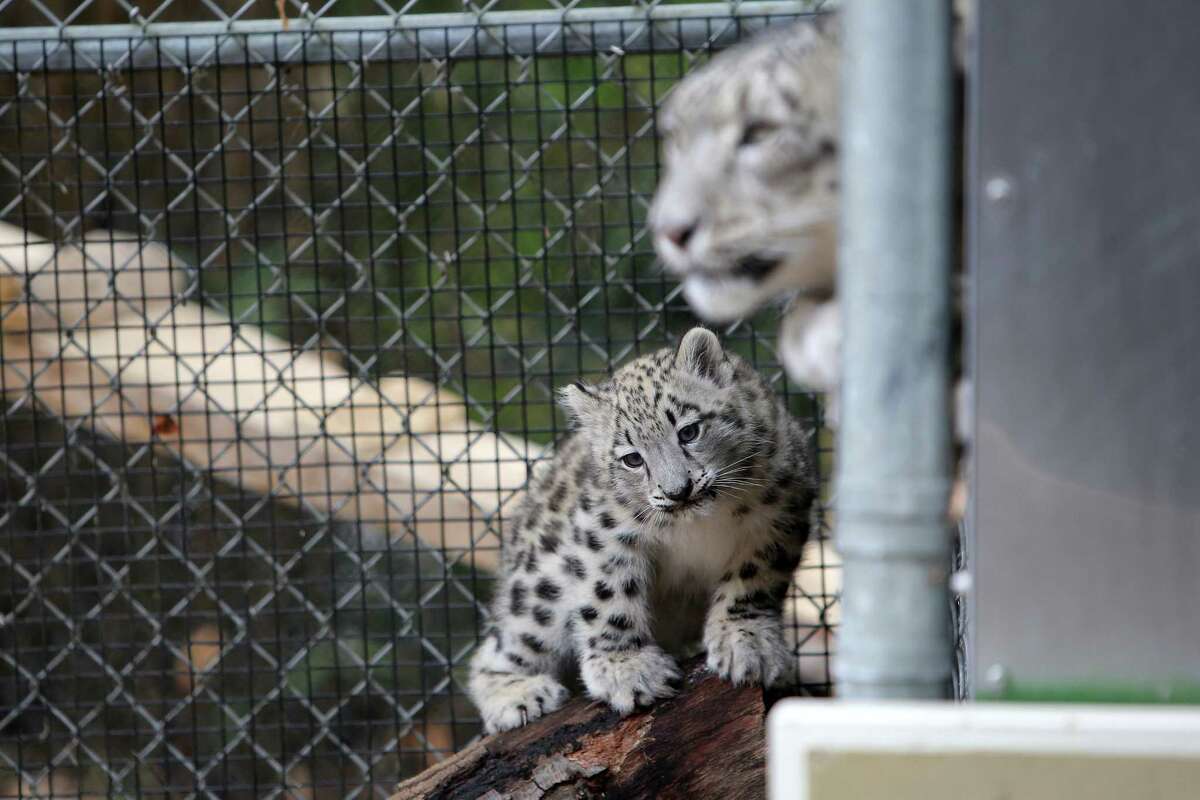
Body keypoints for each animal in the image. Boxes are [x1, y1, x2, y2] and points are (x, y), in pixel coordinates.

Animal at [467, 327, 816, 733]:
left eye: (689, 431)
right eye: (632, 458)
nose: (679, 491)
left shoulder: (778, 515)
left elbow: (752, 581)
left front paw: (747, 644)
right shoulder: (607, 532)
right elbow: (608, 595)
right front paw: (628, 669)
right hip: (540, 588)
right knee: (498, 648)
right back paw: (518, 695)